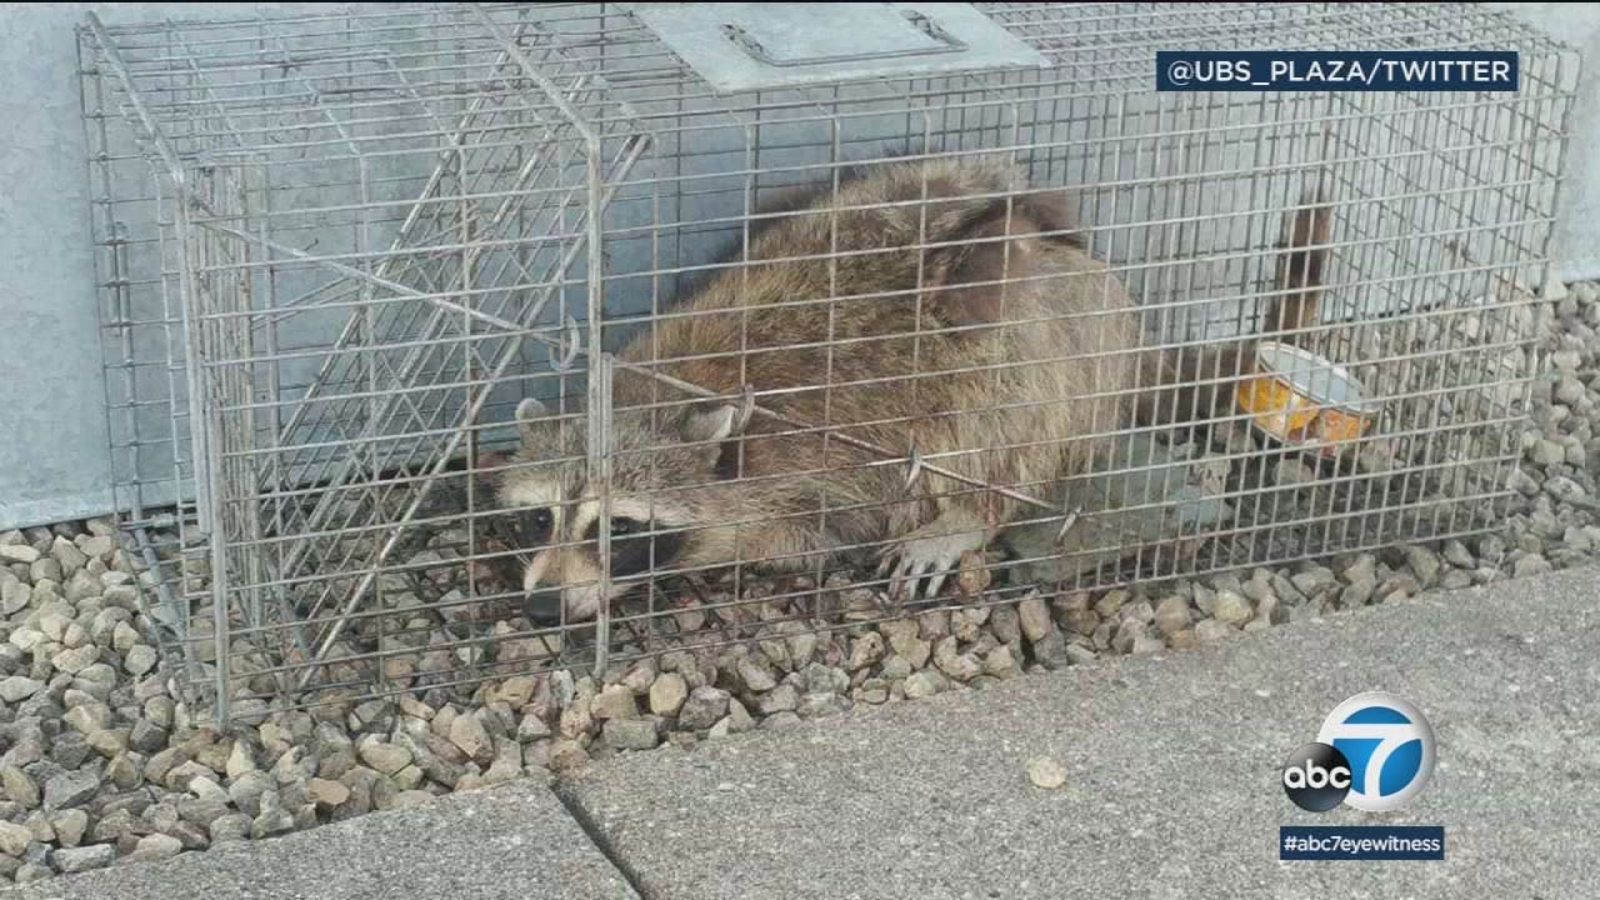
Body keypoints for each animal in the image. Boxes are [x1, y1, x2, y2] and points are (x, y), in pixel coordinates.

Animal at [494, 152, 1328, 624]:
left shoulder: (816, 477)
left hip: (1048, 339)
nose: (539, 606)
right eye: (540, 519)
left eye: (619, 529)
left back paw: (969, 510)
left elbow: (799, 534)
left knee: (1005, 399)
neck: (661, 391)